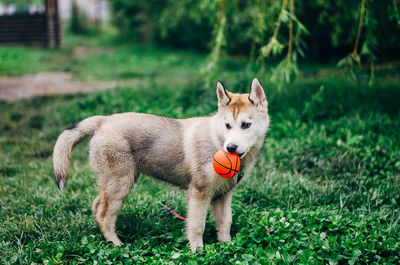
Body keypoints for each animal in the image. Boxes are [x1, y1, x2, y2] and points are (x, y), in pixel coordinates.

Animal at [53, 77, 270, 251]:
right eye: (227, 125)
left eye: (245, 125)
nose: (231, 148)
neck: (217, 139)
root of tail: (103, 120)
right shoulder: (199, 193)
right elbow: (197, 225)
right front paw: (198, 252)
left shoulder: (223, 195)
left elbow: (225, 223)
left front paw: (228, 247)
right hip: (120, 185)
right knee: (104, 214)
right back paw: (116, 245)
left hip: (115, 183)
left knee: (97, 205)